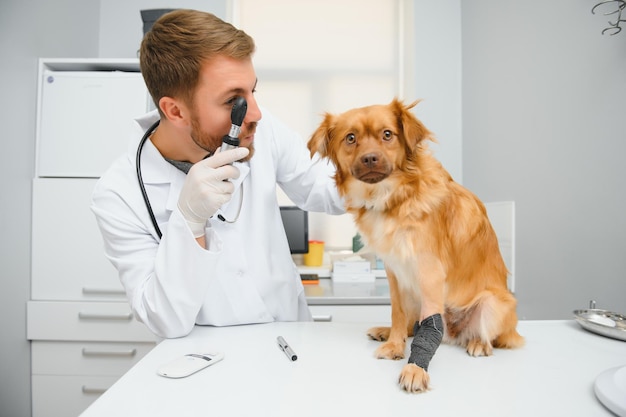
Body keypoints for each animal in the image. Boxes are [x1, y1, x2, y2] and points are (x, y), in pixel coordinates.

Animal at [308, 99, 520, 392]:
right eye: (350, 138)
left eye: (387, 134)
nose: (370, 158)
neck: (392, 198)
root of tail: (452, 332)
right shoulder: (395, 271)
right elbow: (397, 313)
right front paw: (395, 344)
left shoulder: (429, 269)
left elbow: (428, 327)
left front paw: (415, 367)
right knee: (412, 322)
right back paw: (386, 332)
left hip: (494, 303)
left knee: (490, 336)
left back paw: (478, 343)